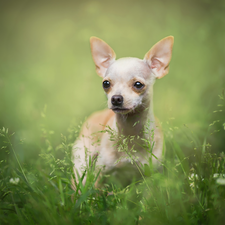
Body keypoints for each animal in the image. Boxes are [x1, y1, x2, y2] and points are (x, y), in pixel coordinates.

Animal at [72, 35, 174, 190]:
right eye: (106, 83)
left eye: (138, 84)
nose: (116, 98)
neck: (130, 132)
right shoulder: (100, 173)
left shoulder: (150, 175)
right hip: (82, 159)